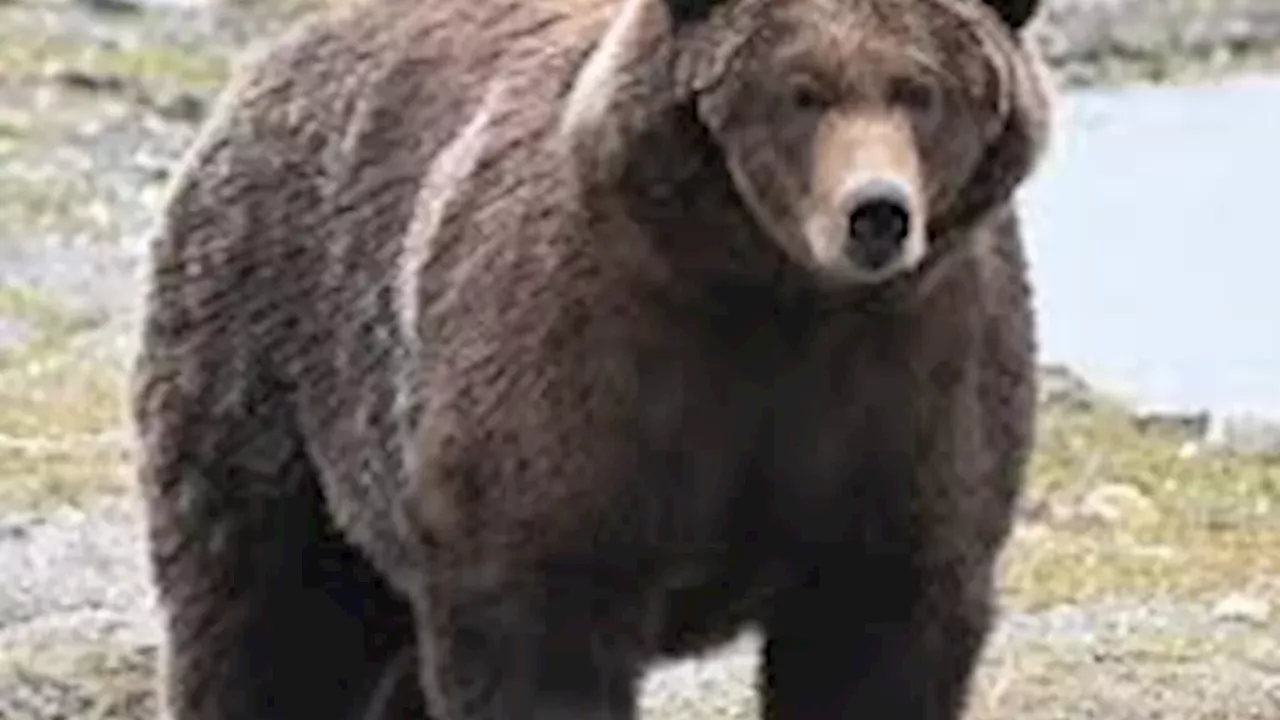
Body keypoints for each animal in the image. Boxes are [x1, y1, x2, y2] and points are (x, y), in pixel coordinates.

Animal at [130, 0, 1055, 718]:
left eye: (919, 90)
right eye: (801, 91)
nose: (877, 214)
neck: (780, 296)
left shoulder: (910, 383)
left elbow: (879, 631)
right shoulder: (591, 368)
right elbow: (544, 624)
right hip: (274, 374)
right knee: (268, 621)